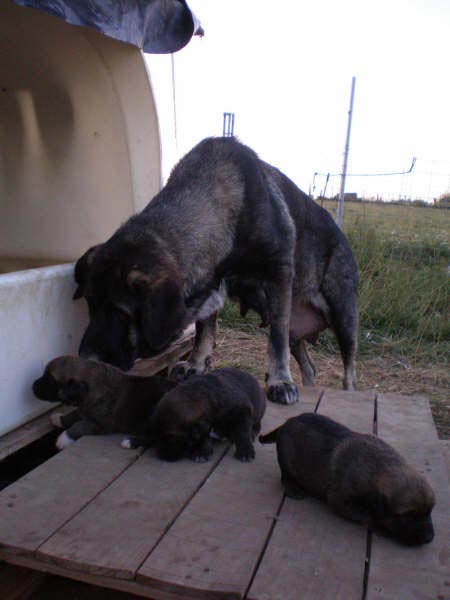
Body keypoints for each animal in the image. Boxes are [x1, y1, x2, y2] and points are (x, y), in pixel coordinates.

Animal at [31, 356, 176, 450]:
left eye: (50, 380)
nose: (32, 386)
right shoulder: (84, 410)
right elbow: (74, 416)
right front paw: (59, 418)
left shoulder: (100, 424)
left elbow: (80, 425)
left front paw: (64, 438)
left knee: (156, 434)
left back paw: (130, 441)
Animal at [74, 138, 358, 406]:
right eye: (90, 304)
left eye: (121, 312)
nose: (86, 359)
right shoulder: (210, 284)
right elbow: (204, 331)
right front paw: (196, 364)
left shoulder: (279, 274)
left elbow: (276, 340)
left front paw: (280, 381)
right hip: (297, 334)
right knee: (309, 368)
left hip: (344, 321)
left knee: (348, 373)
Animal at [125, 368, 266, 462]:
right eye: (156, 437)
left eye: (174, 438)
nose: (164, 456)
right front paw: (135, 439)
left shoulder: (242, 410)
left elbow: (242, 431)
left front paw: (245, 451)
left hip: (259, 409)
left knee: (256, 425)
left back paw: (251, 434)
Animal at [260, 414, 436, 548]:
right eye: (408, 516)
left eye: (429, 512)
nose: (429, 538)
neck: (379, 467)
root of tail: (286, 422)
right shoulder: (341, 501)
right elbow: (369, 516)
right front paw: (382, 527)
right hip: (286, 460)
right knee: (284, 476)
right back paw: (293, 488)